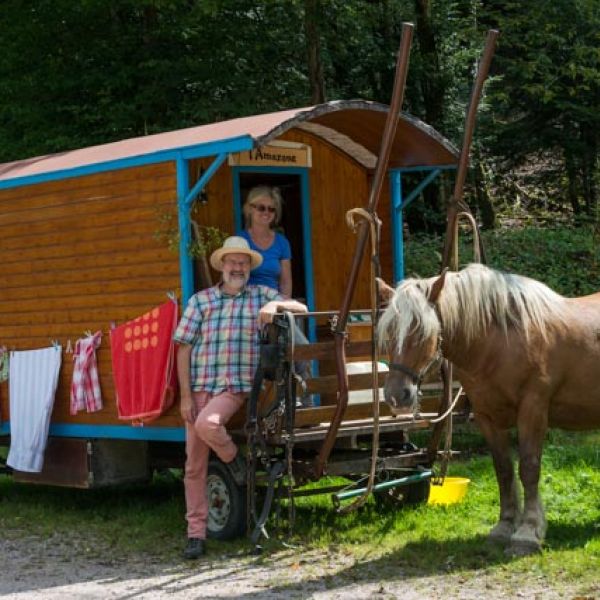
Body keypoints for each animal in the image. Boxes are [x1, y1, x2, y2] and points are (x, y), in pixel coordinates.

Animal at [380, 264, 600, 556]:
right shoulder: (487, 417)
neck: (499, 341)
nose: (397, 395)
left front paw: (528, 532)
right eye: (388, 332)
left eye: (422, 330)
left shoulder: (532, 409)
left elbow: (529, 468)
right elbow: (503, 470)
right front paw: (505, 526)